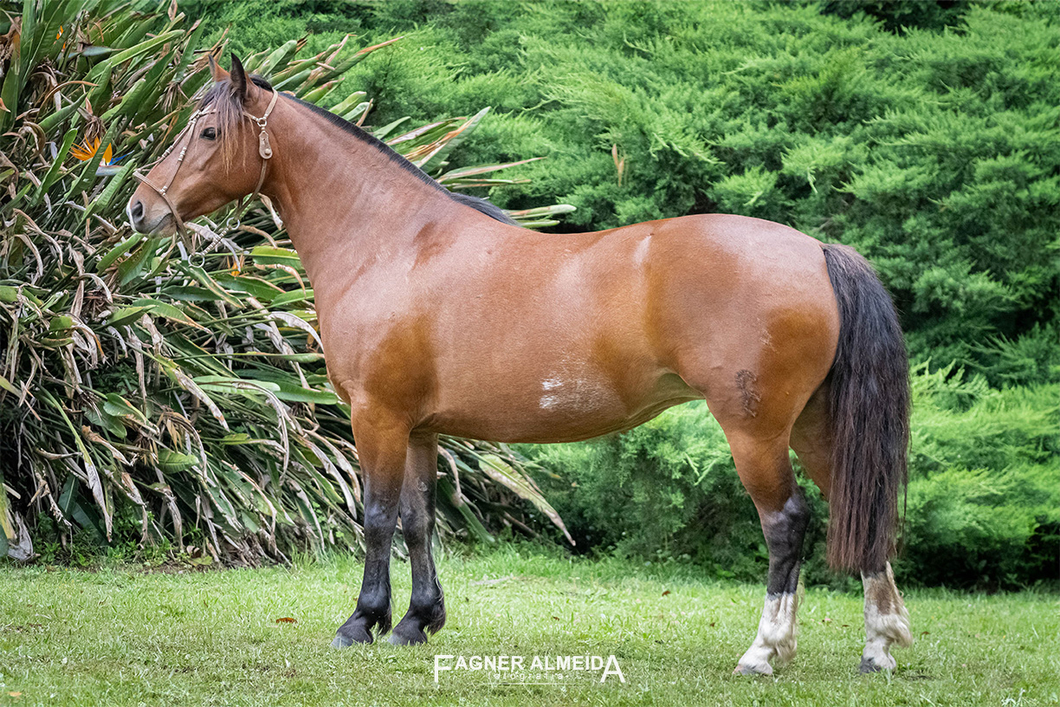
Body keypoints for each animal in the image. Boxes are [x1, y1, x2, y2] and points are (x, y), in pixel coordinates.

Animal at [130, 56, 911, 674]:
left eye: (207, 132)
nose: (140, 207)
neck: (393, 242)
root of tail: (816, 251)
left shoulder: (375, 415)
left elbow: (377, 516)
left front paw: (362, 621)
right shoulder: (419, 427)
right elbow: (418, 519)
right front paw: (416, 621)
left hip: (755, 431)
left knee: (786, 523)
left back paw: (764, 651)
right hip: (814, 425)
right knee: (861, 510)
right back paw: (879, 646)